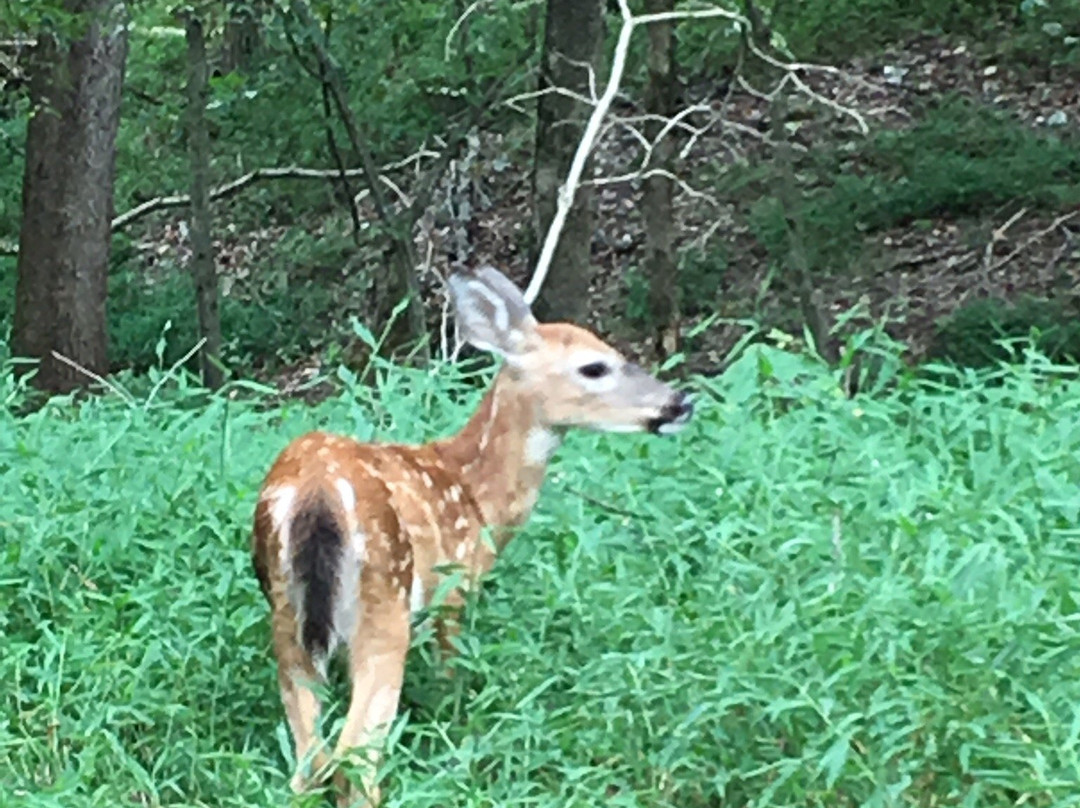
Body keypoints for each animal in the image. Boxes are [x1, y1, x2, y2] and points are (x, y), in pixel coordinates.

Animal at [249, 266, 695, 808]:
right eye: (594, 367)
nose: (679, 403)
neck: (475, 495)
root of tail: (315, 497)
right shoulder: (455, 586)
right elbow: (450, 672)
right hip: (383, 606)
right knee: (353, 755)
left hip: (286, 616)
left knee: (308, 761)